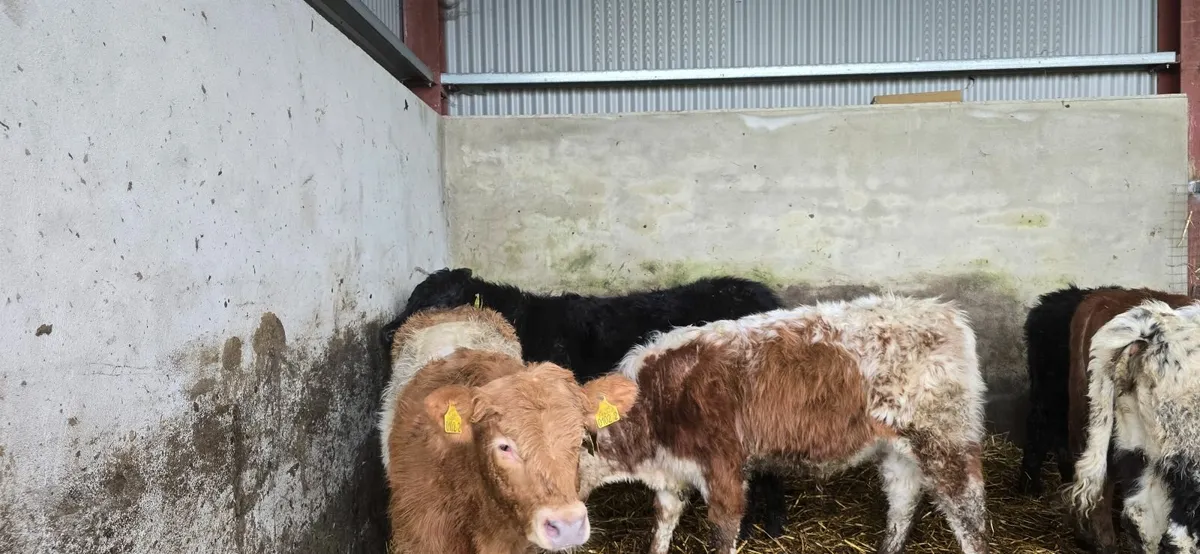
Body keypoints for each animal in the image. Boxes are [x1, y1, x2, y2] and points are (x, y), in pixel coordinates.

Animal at [576, 294, 989, 554]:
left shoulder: (724, 470)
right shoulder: (670, 477)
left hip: (944, 437)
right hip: (897, 446)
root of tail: (943, 311)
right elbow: (661, 527)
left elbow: (722, 535)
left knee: (969, 512)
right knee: (903, 498)